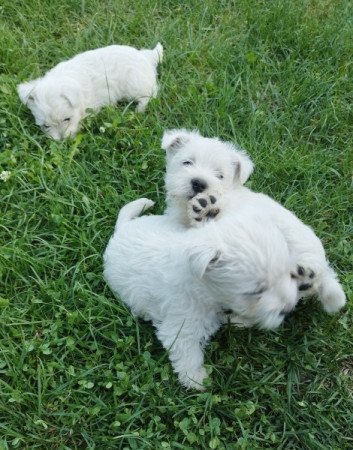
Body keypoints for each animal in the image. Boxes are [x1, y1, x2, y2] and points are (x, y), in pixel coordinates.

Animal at [17, 44, 163, 140]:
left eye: (67, 119)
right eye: (45, 125)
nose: (63, 140)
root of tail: (146, 56)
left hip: (135, 85)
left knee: (150, 94)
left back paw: (139, 110)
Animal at [103, 197, 302, 390]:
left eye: (288, 273)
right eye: (257, 291)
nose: (288, 308)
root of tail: (122, 228)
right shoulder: (181, 327)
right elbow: (188, 355)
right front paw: (197, 380)